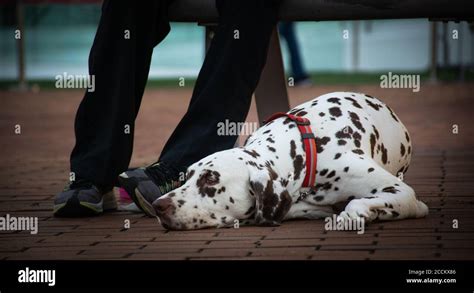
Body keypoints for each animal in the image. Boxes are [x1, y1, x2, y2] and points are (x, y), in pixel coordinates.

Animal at [152, 92, 430, 229]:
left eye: (211, 179)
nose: (158, 206)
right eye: (187, 177)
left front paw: (359, 213)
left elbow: (361, 203)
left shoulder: (403, 192)